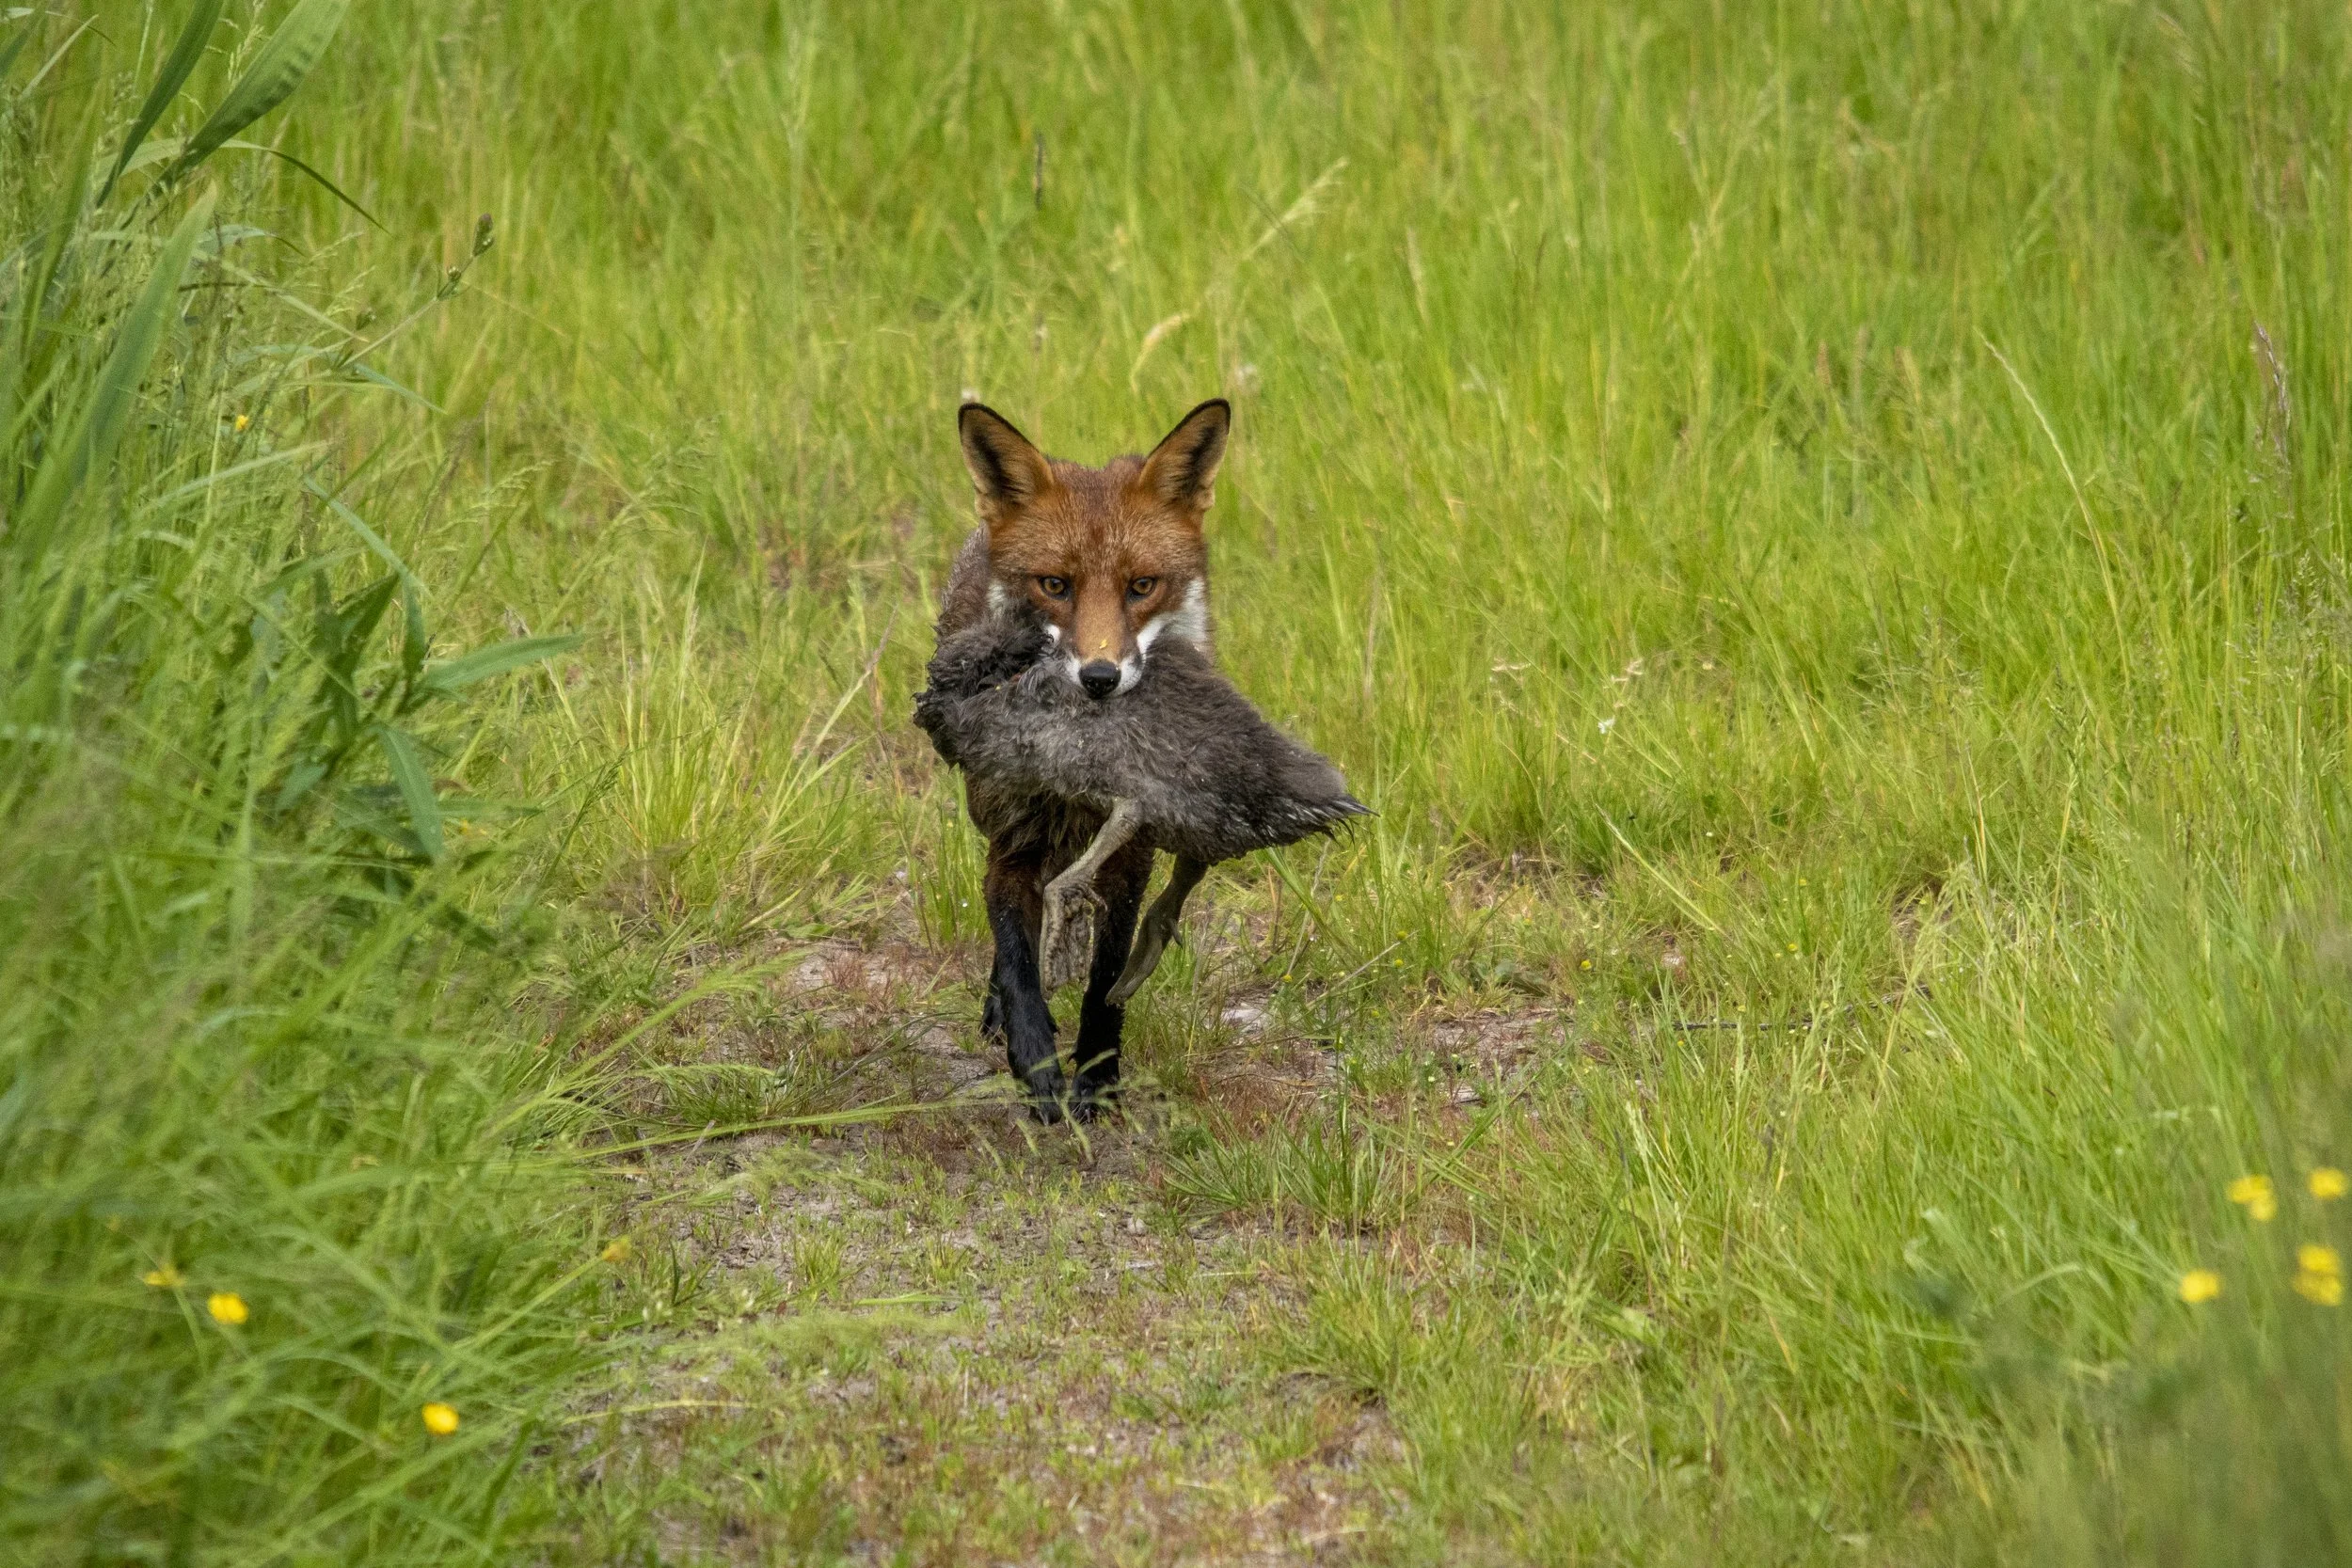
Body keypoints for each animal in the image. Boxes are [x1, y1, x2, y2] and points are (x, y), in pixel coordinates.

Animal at [933, 397, 1231, 1121]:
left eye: (1142, 586)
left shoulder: (1132, 856)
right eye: (1055, 585)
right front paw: (1037, 1064)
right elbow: (1016, 957)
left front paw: (1097, 1075)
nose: (1100, 677)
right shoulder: (1013, 840)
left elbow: (1106, 977)